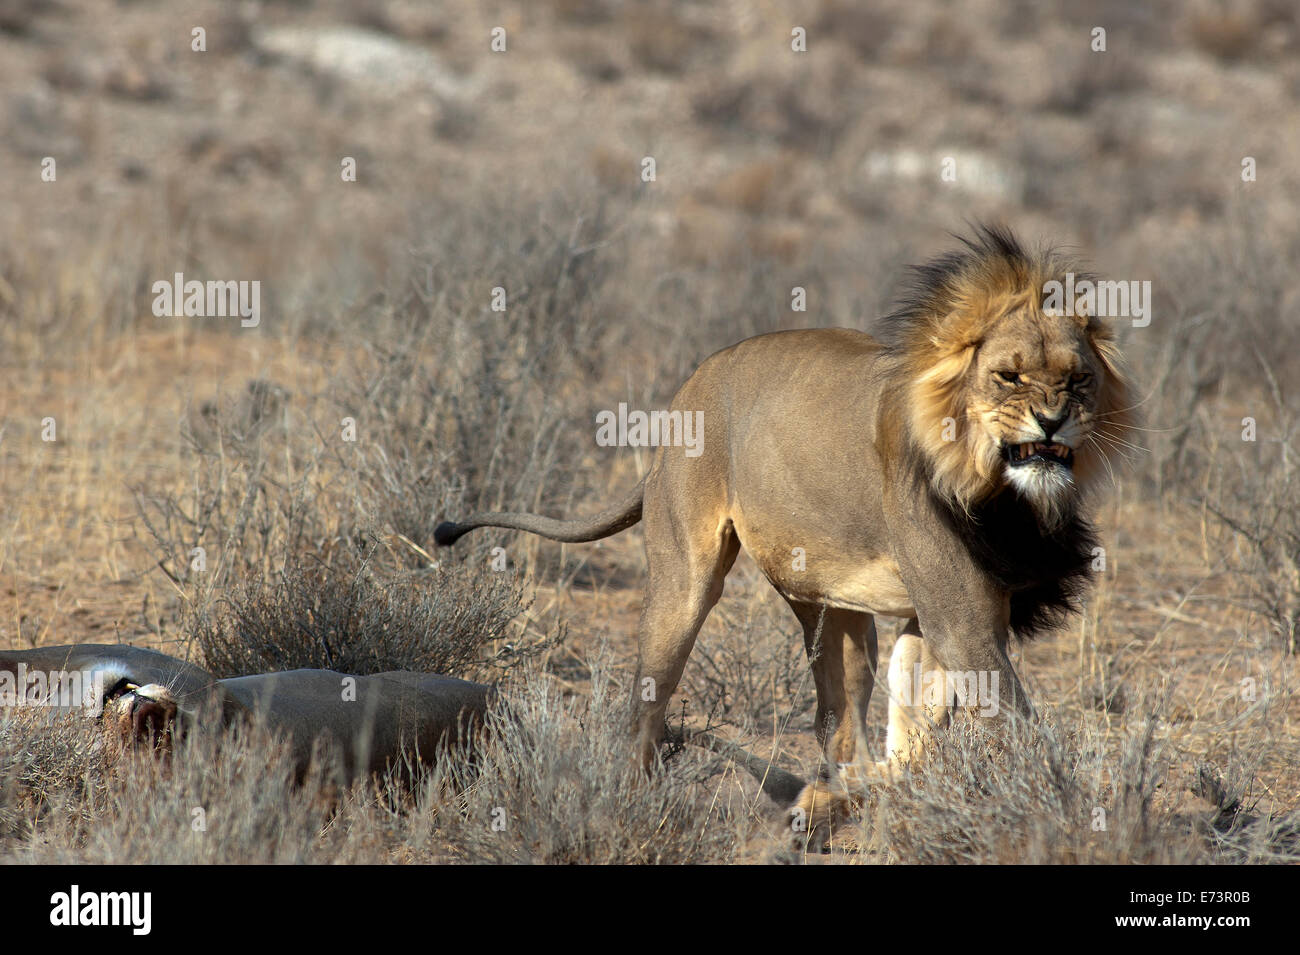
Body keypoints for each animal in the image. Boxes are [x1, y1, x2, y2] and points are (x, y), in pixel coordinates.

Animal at [435, 225, 1136, 837]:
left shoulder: (949, 614)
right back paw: (628, 800)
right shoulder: (959, 618)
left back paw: (829, 799)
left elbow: (915, 727)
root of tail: (689, 386)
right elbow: (1017, 727)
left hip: (830, 606)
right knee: (647, 700)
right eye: (1008, 375)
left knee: (839, 717)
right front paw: (1059, 809)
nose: (1053, 421)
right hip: (685, 582)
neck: (1002, 493)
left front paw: (880, 796)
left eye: (1078, 379)